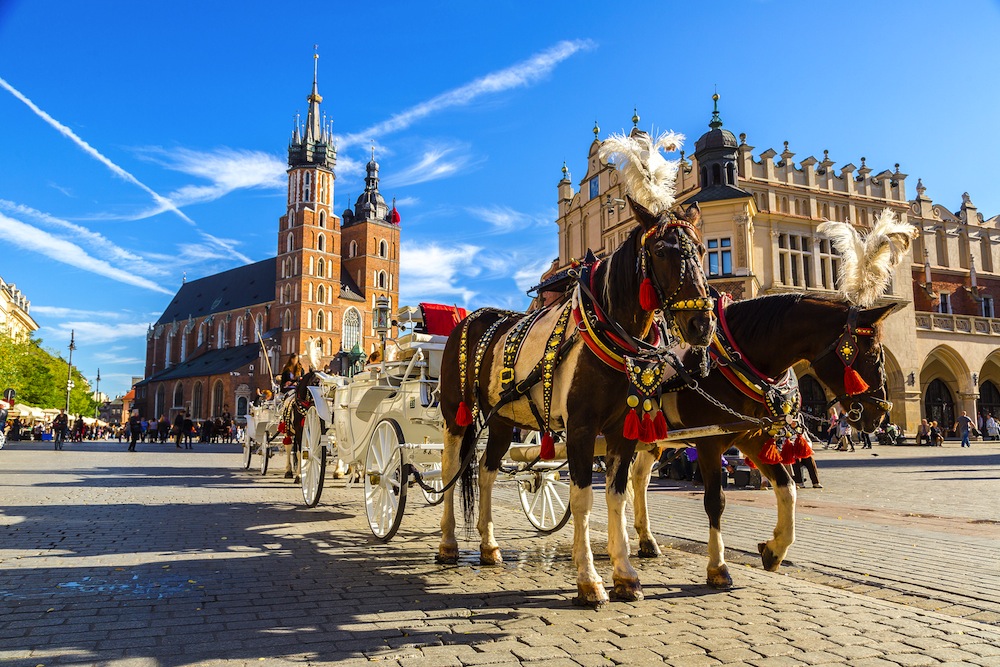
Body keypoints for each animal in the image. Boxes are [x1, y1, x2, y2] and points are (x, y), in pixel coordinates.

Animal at [438, 196, 720, 608]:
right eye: (660, 251)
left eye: (702, 250)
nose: (702, 325)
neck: (608, 333)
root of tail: (471, 317)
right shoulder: (582, 429)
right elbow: (583, 498)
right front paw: (589, 581)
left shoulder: (622, 431)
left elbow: (617, 497)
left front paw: (625, 575)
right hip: (456, 414)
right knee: (450, 470)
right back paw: (447, 543)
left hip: (503, 419)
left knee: (487, 472)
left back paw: (489, 546)